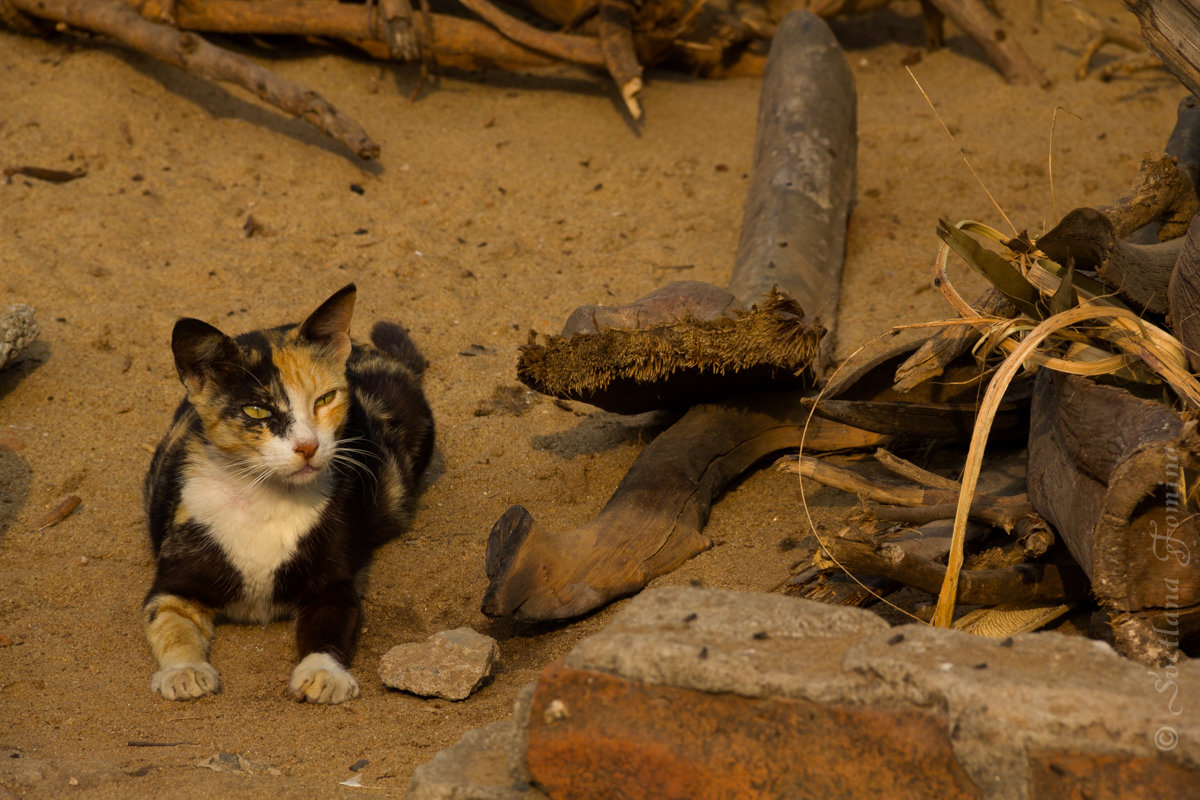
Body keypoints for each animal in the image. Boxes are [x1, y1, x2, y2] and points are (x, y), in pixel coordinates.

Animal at [142, 284, 432, 705]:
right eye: (256, 410)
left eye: (325, 399)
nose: (308, 446)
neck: (267, 498)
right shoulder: (170, 584)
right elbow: (169, 625)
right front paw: (185, 672)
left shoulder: (334, 584)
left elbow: (329, 627)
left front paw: (323, 674)